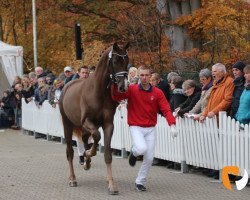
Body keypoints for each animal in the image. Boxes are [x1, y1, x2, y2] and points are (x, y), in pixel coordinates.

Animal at [58, 42, 129, 194]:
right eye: (115, 61)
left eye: (127, 60)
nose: (123, 86)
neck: (98, 91)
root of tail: (66, 87)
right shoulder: (86, 122)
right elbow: (96, 136)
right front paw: (90, 154)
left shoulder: (108, 124)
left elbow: (107, 153)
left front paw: (111, 184)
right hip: (68, 124)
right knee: (70, 151)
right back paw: (72, 178)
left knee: (85, 140)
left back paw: (86, 160)